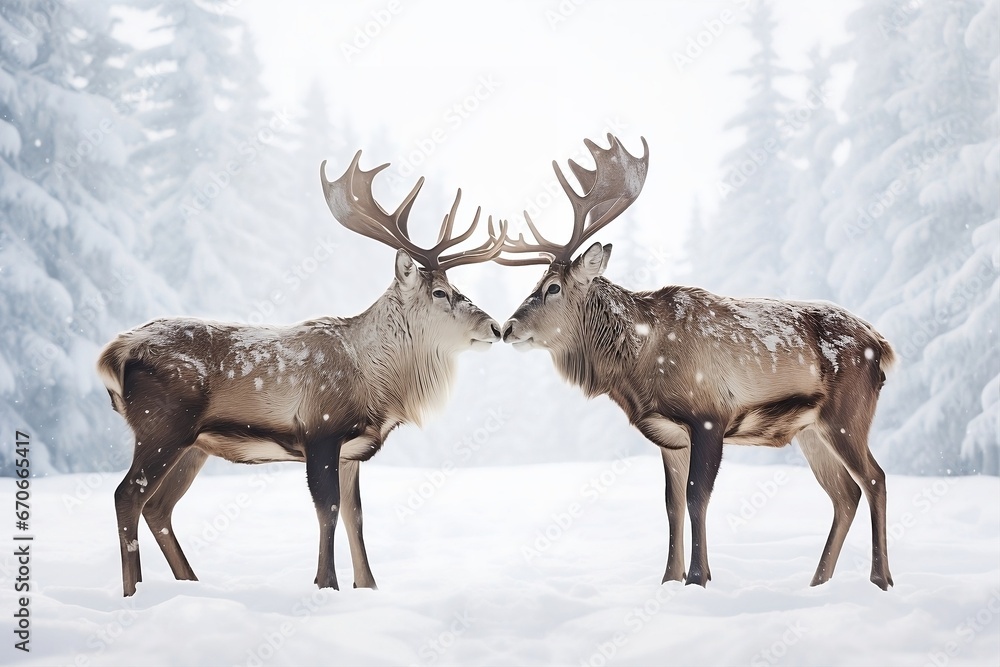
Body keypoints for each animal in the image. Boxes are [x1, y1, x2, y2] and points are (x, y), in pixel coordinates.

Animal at [97, 151, 508, 596]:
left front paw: (367, 587)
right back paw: (133, 592)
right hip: (160, 425)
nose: (495, 327)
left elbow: (356, 517)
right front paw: (326, 584)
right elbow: (327, 509)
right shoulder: (320, 429)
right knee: (126, 496)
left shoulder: (351, 450)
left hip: (194, 444)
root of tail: (113, 353)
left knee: (158, 507)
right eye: (439, 292)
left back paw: (190, 583)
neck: (377, 384)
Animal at [495, 134, 895, 590]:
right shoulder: (670, 436)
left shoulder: (708, 416)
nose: (508, 327)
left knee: (875, 479)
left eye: (553, 287)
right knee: (845, 494)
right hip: (811, 430)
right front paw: (670, 579)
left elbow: (696, 496)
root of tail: (881, 343)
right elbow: (671, 503)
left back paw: (880, 579)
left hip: (848, 413)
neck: (639, 368)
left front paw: (699, 578)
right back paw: (817, 582)